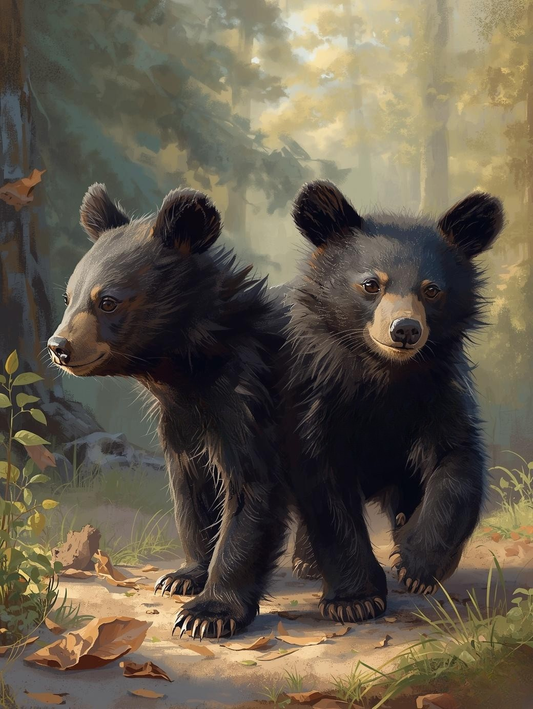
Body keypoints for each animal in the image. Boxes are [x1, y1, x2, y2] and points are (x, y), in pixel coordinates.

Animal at [48, 184, 292, 638]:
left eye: (107, 302)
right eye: (68, 297)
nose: (59, 347)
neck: (189, 370)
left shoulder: (250, 398)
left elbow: (251, 487)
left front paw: (208, 613)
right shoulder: (179, 418)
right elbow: (191, 487)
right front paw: (183, 575)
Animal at [283, 180, 504, 623]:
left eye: (432, 290)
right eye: (371, 284)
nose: (405, 329)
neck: (385, 375)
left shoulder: (440, 392)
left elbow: (457, 463)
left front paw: (417, 566)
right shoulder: (318, 397)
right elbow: (324, 489)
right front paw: (355, 600)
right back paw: (306, 560)